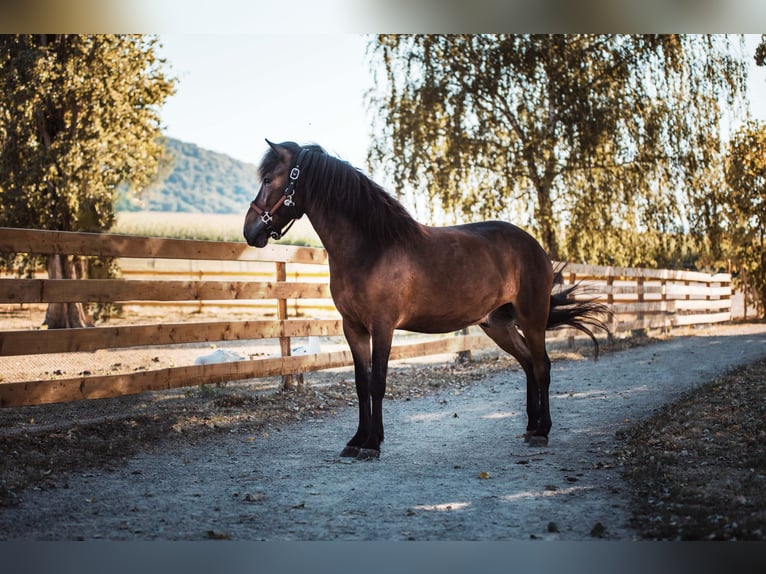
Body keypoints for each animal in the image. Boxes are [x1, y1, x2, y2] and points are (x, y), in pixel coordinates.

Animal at [244, 140, 610, 460]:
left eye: (268, 179)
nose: (250, 231)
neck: (371, 247)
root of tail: (535, 247)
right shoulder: (354, 328)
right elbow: (361, 384)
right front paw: (356, 440)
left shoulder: (383, 327)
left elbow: (377, 383)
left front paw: (372, 445)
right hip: (498, 325)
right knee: (528, 363)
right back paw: (532, 427)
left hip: (532, 318)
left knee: (542, 365)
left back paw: (543, 431)